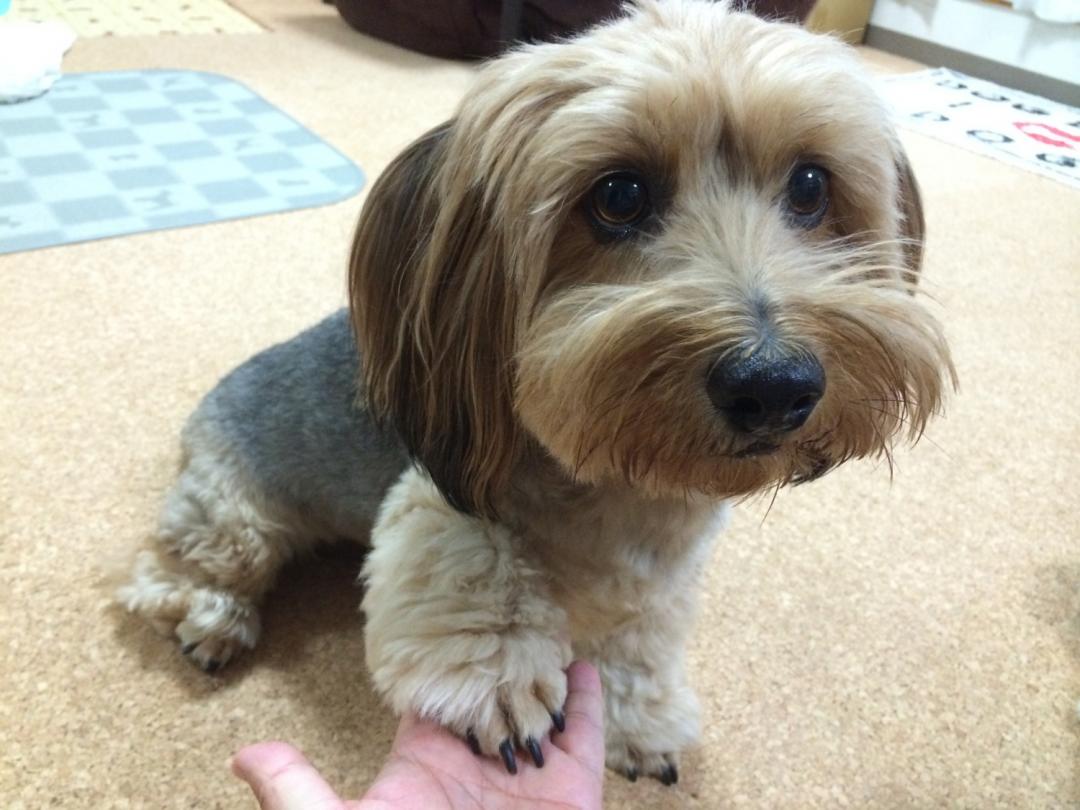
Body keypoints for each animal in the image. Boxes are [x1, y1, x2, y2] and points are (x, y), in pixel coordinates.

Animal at [118, 0, 954, 786]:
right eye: (619, 196)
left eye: (811, 185)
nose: (775, 384)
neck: (627, 486)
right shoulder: (441, 496)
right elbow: (479, 567)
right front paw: (502, 680)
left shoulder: (661, 582)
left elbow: (640, 642)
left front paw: (639, 721)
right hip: (235, 519)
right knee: (168, 573)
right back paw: (212, 619)